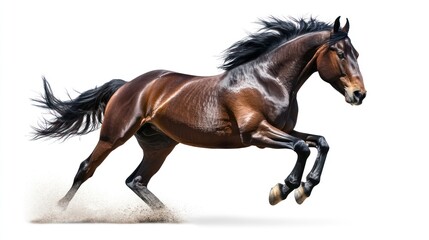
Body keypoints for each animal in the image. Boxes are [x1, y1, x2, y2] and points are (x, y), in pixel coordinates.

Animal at [32, 16, 364, 210]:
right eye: (340, 53)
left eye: (357, 53)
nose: (359, 94)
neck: (267, 80)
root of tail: (128, 85)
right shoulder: (256, 133)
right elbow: (301, 148)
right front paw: (284, 190)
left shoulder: (283, 129)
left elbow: (320, 142)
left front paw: (303, 188)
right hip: (114, 136)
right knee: (86, 168)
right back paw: (58, 212)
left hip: (159, 145)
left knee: (136, 180)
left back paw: (167, 216)